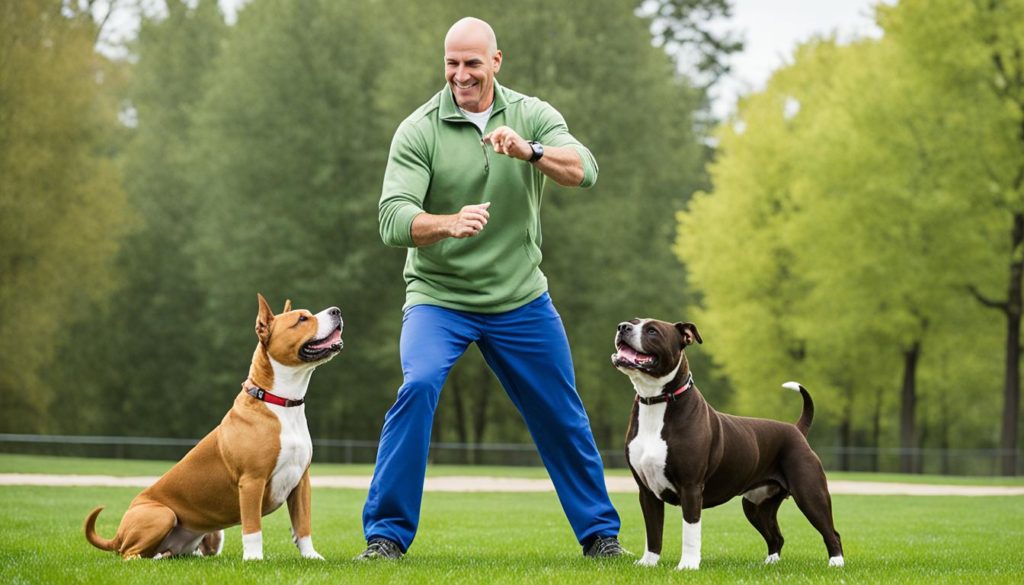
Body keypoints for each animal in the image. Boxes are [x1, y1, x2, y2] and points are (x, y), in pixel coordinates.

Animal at [83, 295, 339, 561]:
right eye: (301, 319)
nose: (337, 311)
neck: (279, 402)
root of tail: (118, 535)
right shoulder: (252, 481)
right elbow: (252, 527)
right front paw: (254, 559)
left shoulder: (301, 482)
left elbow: (302, 526)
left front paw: (311, 556)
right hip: (162, 514)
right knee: (130, 554)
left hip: (212, 535)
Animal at [610, 317, 843, 569]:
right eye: (633, 322)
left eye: (652, 331)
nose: (623, 327)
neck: (656, 401)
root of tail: (796, 429)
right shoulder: (647, 491)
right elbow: (653, 531)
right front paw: (648, 562)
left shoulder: (691, 488)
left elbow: (690, 531)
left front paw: (687, 566)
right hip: (756, 506)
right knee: (776, 536)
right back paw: (770, 563)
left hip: (810, 494)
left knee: (831, 532)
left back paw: (836, 563)